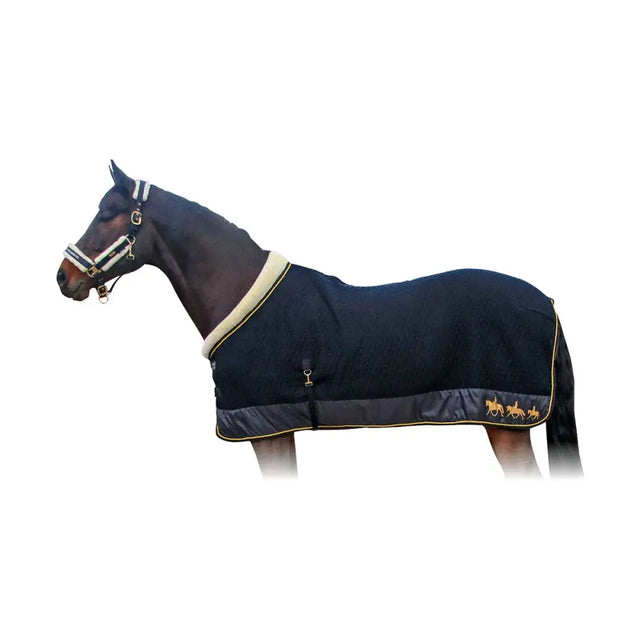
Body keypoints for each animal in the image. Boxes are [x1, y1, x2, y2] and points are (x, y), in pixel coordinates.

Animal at [57, 162, 583, 479]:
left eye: (108, 214)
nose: (64, 277)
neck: (243, 296)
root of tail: (548, 303)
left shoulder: (266, 431)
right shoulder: (273, 429)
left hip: (507, 426)